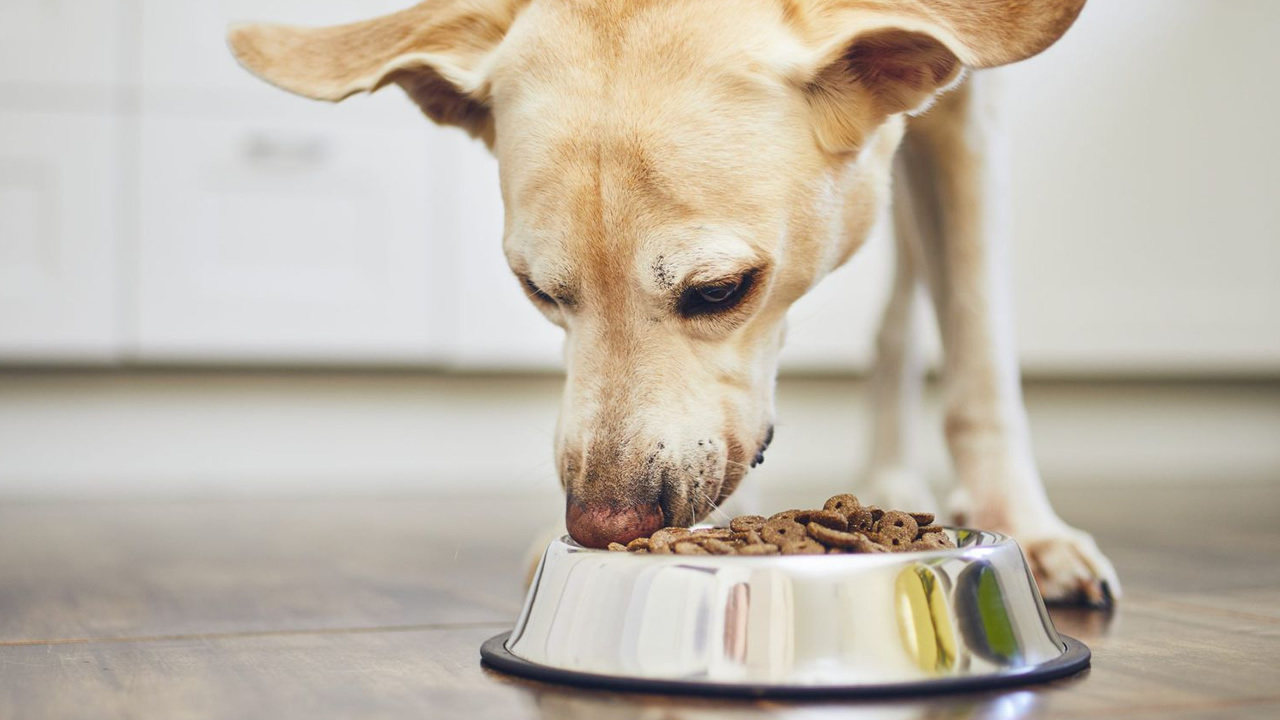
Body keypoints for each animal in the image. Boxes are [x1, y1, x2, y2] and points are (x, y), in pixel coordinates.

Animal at [230, 0, 1121, 604]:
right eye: (538, 291)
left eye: (721, 289)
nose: (599, 528)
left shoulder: (972, 114)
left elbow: (979, 356)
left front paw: (1028, 529)